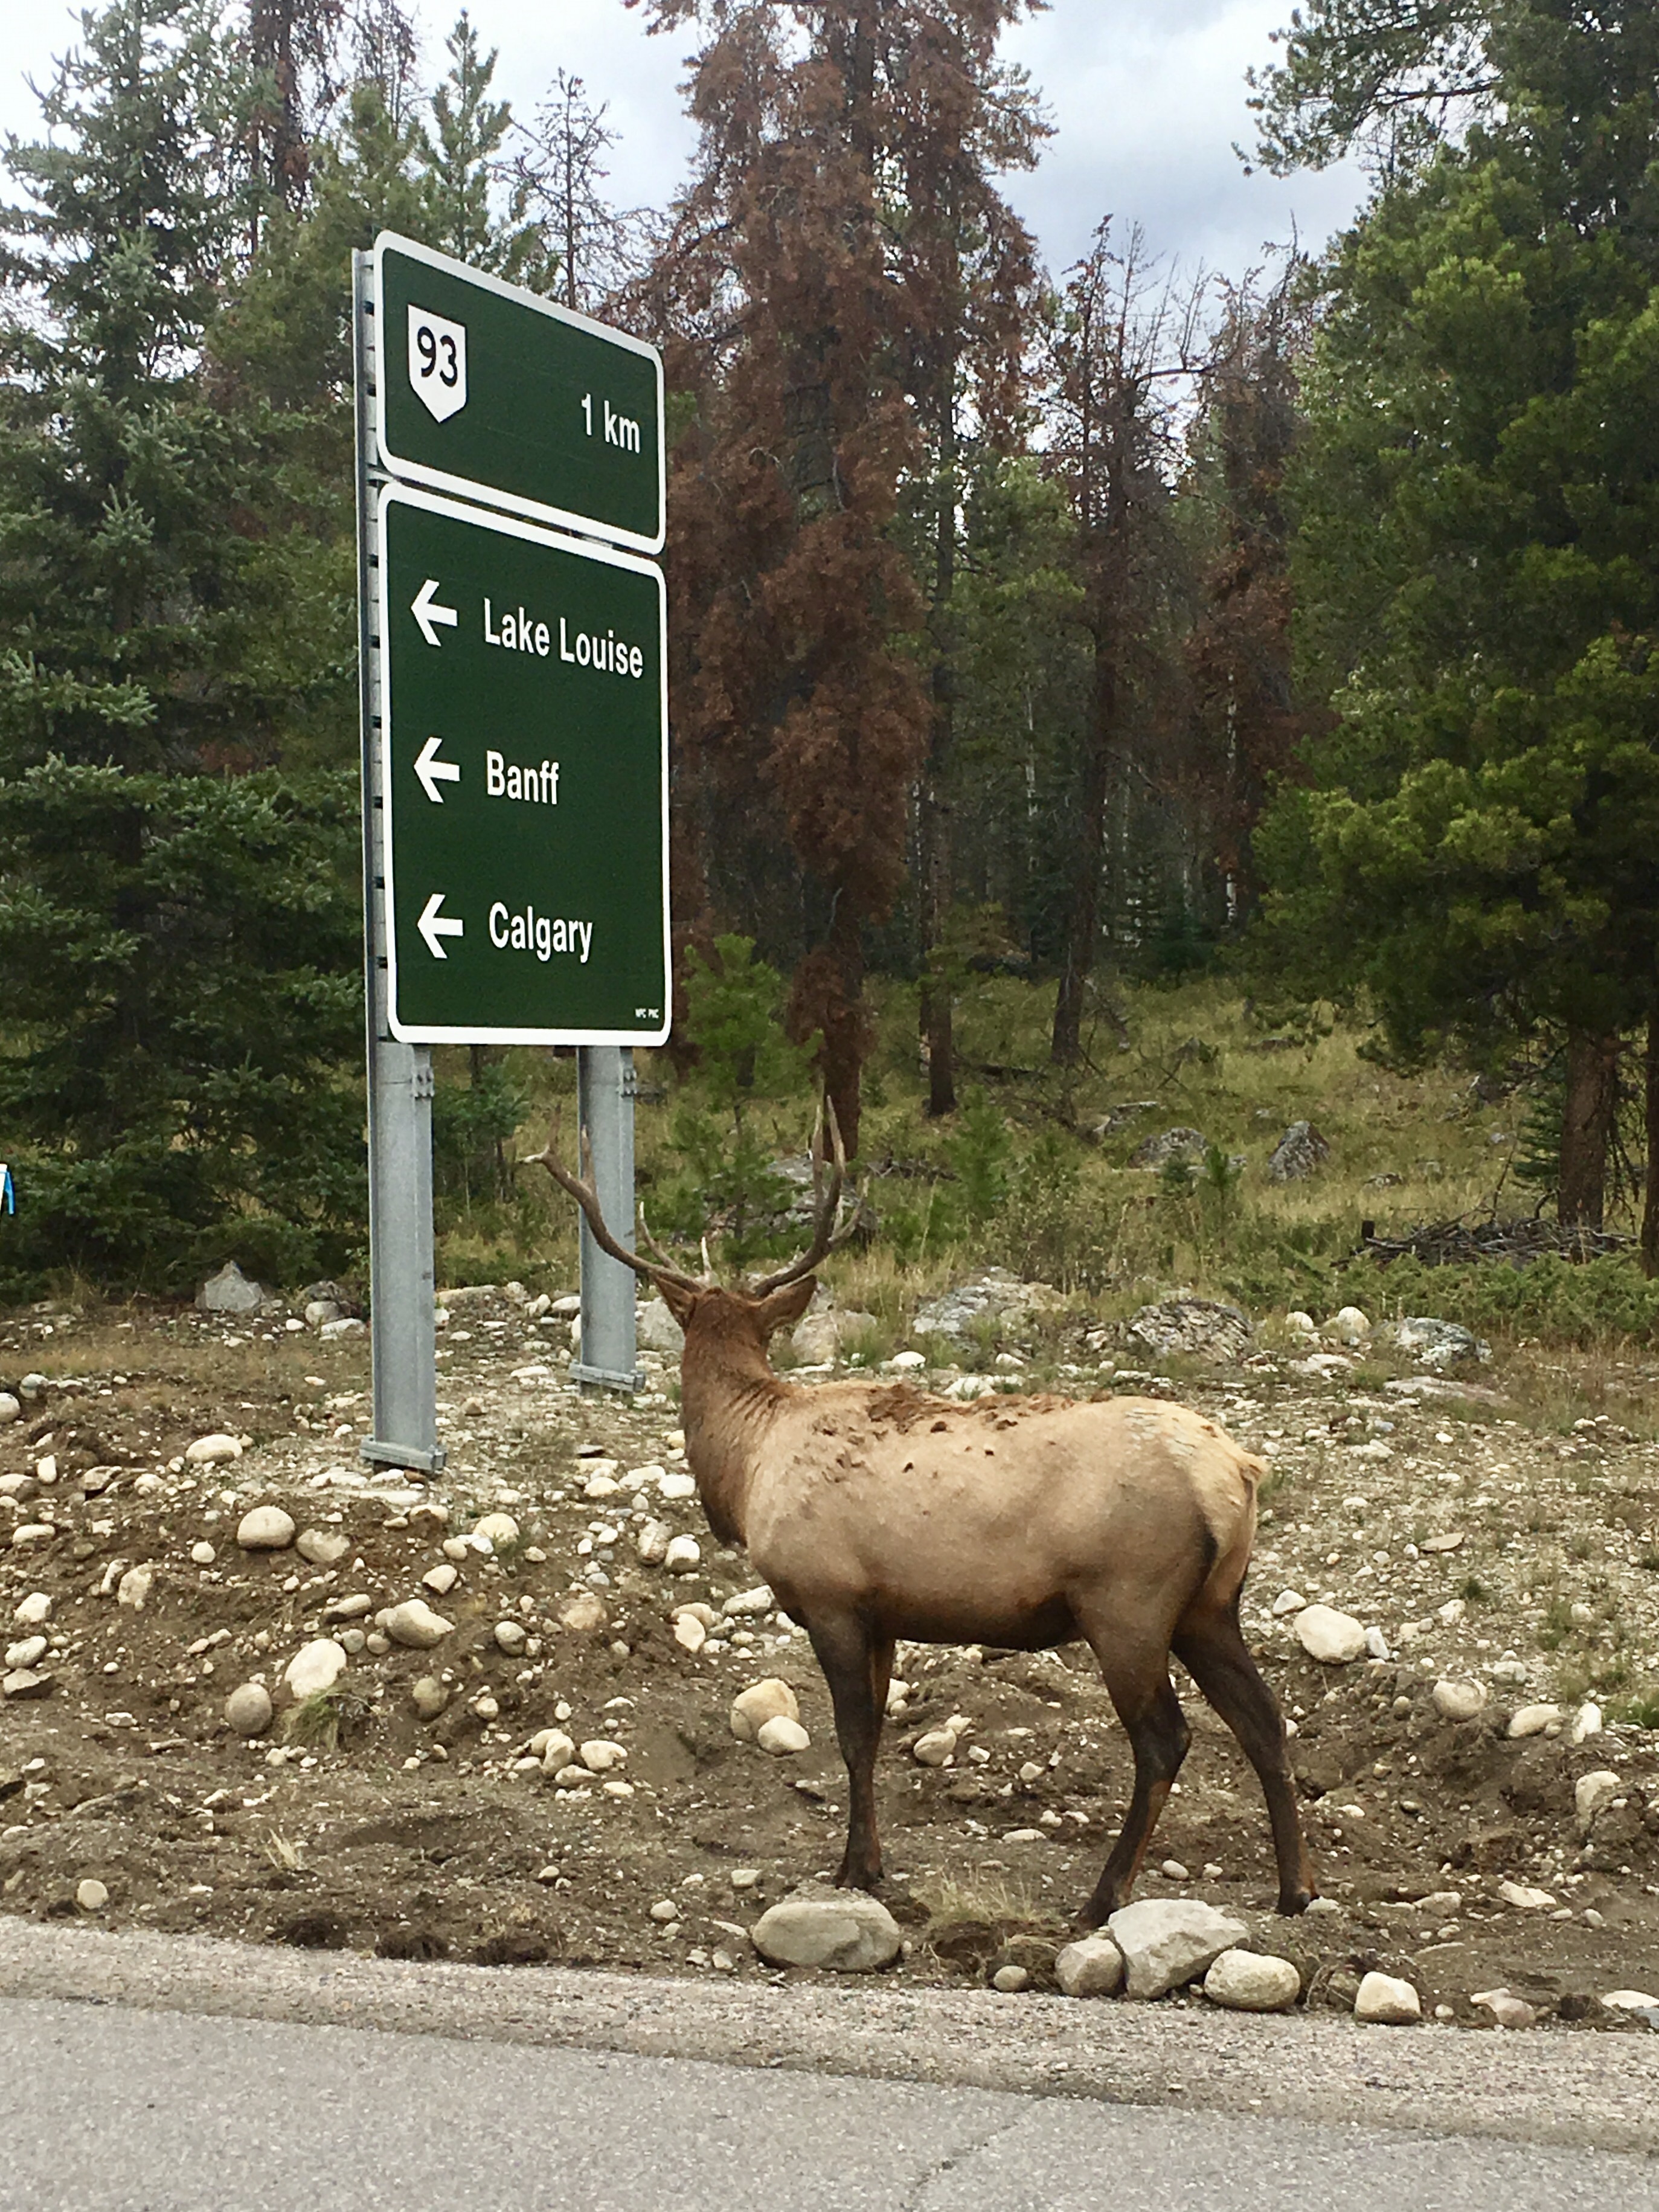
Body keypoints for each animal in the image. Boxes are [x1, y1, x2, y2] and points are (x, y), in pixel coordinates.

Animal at [527, 1109, 1316, 1926]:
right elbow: (873, 1735)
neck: (746, 1468)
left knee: (1165, 1737)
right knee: (1264, 1718)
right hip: (1209, 1604)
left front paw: (853, 1867)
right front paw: (871, 1861)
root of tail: (1237, 1474)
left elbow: (851, 1737)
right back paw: (1294, 1887)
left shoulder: (831, 1596)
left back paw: (1102, 1897)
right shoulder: (884, 1613)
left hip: (1125, 1599)